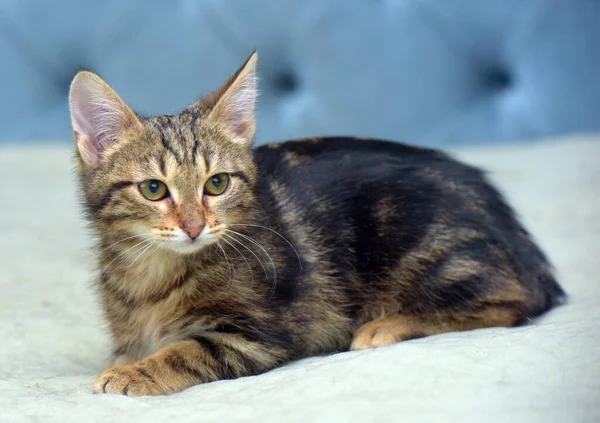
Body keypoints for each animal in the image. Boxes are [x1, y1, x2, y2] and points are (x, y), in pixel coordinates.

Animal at [68, 51, 564, 396]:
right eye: (154, 189)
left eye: (217, 183)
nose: (194, 227)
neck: (156, 271)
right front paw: (130, 363)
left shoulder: (258, 334)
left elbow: (187, 351)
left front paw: (136, 372)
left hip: (433, 249)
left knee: (515, 303)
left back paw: (389, 325)